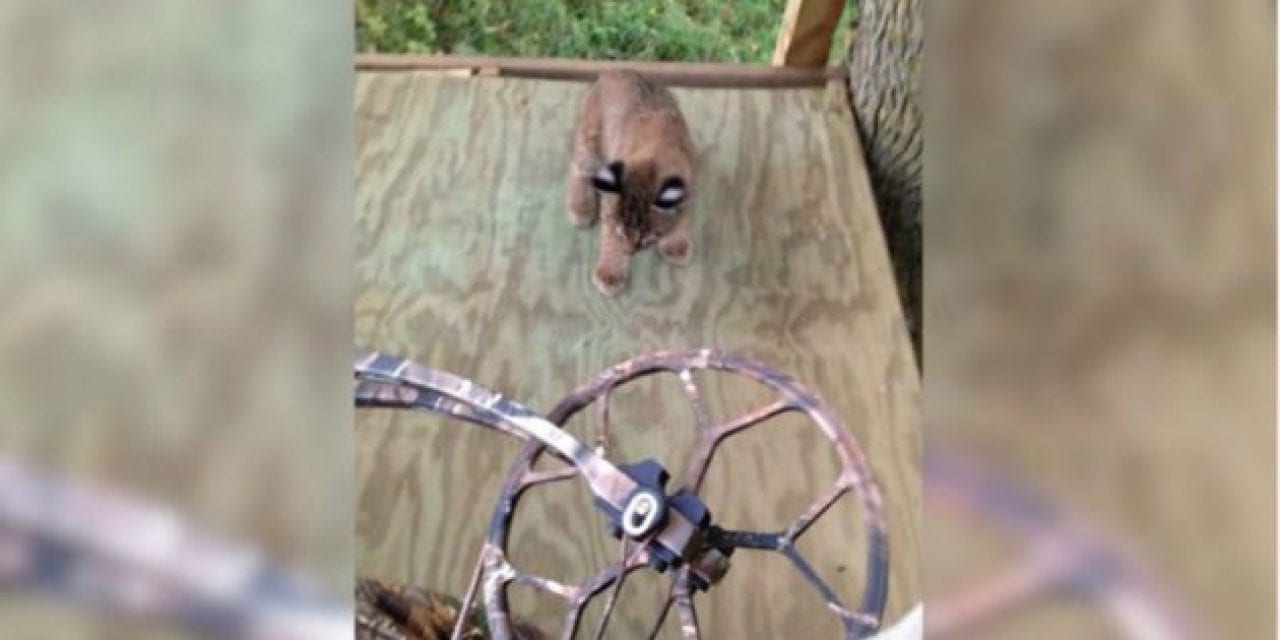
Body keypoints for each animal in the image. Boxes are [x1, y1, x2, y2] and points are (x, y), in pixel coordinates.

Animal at [568, 70, 696, 296]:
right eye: (621, 230)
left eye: (648, 238)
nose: (629, 252)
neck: (655, 161)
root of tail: (614, 70)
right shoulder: (610, 206)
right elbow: (609, 237)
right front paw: (610, 273)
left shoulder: (689, 190)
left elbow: (682, 220)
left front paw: (675, 244)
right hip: (589, 141)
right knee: (578, 167)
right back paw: (580, 206)